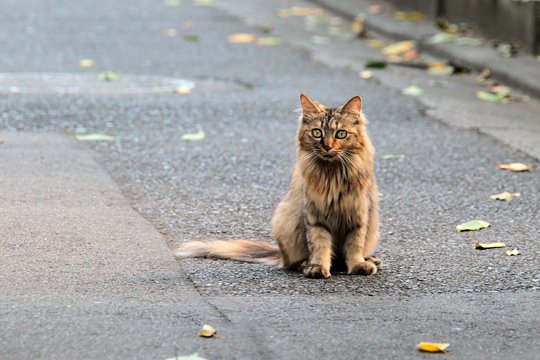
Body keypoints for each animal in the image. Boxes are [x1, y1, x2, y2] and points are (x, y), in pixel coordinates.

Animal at [175, 93, 382, 278]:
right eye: (317, 133)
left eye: (341, 134)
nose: (327, 146)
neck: (332, 174)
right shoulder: (314, 216)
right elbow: (319, 244)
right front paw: (317, 267)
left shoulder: (359, 215)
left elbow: (354, 245)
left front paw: (358, 265)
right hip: (285, 221)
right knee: (294, 263)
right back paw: (306, 264)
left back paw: (371, 260)